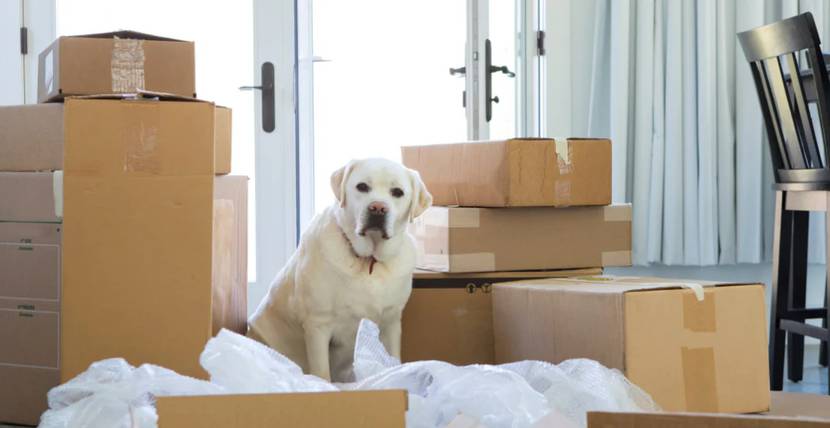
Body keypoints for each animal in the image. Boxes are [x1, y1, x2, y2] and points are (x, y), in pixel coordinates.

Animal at [247, 157, 432, 382]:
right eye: (362, 187)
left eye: (397, 192)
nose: (378, 208)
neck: (368, 261)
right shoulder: (317, 325)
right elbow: (322, 372)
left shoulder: (391, 322)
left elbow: (393, 359)